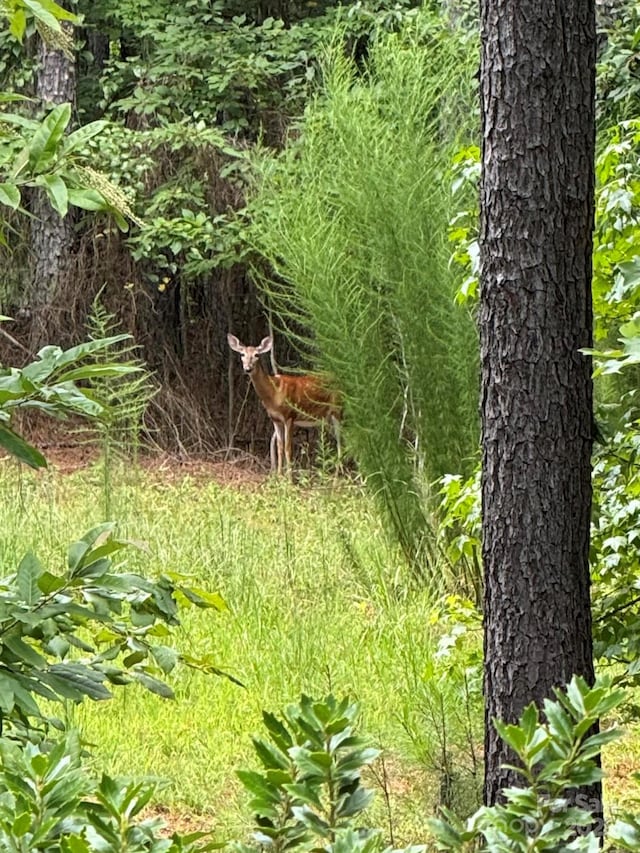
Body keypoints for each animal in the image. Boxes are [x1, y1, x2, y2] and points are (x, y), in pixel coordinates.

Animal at [228, 332, 342, 476]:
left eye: (257, 355)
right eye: (242, 354)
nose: (248, 368)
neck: (273, 394)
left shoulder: (289, 416)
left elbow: (288, 448)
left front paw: (289, 477)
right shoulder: (275, 419)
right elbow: (279, 447)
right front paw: (279, 475)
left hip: (337, 410)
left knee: (343, 441)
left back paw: (339, 476)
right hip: (327, 417)